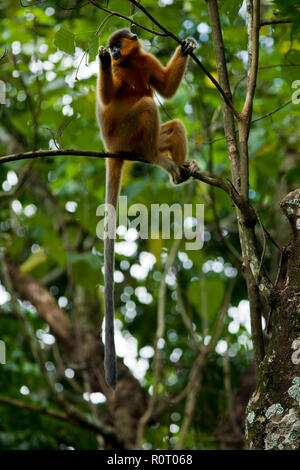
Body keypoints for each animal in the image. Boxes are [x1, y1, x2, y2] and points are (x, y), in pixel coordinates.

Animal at [96, 28, 199, 390]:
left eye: (119, 45)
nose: (112, 53)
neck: (129, 63)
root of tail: (110, 147)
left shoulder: (145, 59)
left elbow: (165, 88)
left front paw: (187, 46)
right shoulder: (118, 76)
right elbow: (109, 100)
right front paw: (100, 62)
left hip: (146, 137)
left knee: (175, 125)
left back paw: (182, 167)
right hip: (124, 134)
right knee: (145, 106)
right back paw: (157, 159)